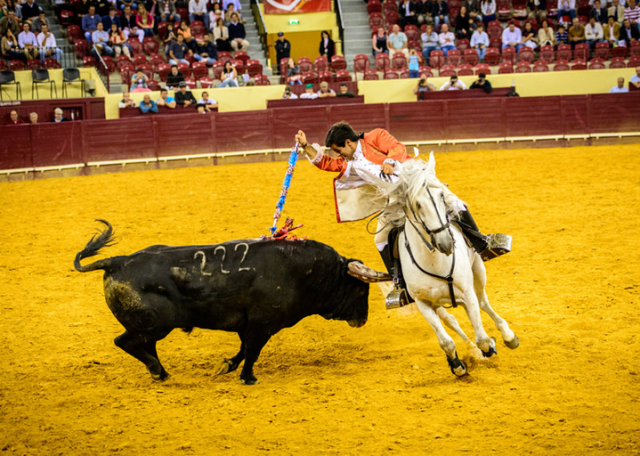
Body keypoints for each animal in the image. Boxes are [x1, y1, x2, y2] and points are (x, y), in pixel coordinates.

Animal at [72, 221, 388, 384]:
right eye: (361, 291)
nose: (363, 319)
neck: (304, 271)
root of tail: (117, 262)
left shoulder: (246, 325)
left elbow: (242, 349)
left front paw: (227, 366)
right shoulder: (262, 325)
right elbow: (252, 351)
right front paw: (248, 377)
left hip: (151, 327)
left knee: (143, 346)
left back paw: (161, 372)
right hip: (154, 324)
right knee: (125, 342)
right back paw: (156, 370)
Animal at [380, 155, 520, 376]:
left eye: (441, 196)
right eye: (417, 204)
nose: (445, 243)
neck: (435, 261)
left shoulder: (467, 292)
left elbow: (482, 337)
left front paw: (489, 347)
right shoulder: (423, 303)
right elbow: (445, 341)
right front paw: (457, 364)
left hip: (478, 269)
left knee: (483, 302)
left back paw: (507, 335)